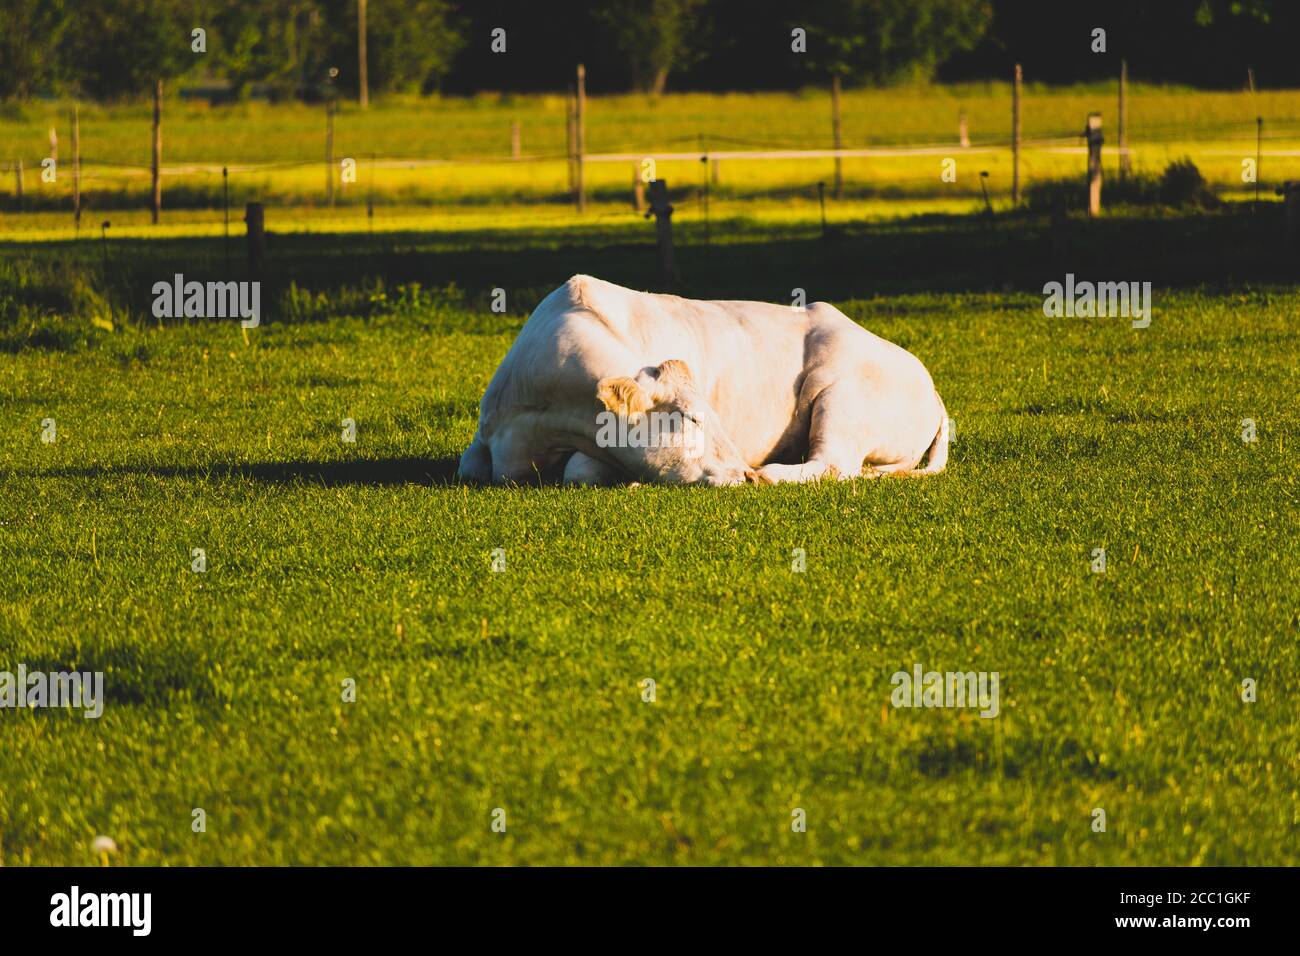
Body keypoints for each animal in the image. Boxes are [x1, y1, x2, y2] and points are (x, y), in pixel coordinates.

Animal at [457, 274, 946, 486]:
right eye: (691, 418)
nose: (742, 473)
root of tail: (932, 389)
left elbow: (580, 469)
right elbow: (469, 464)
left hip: (841, 396)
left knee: (832, 463)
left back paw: (773, 472)